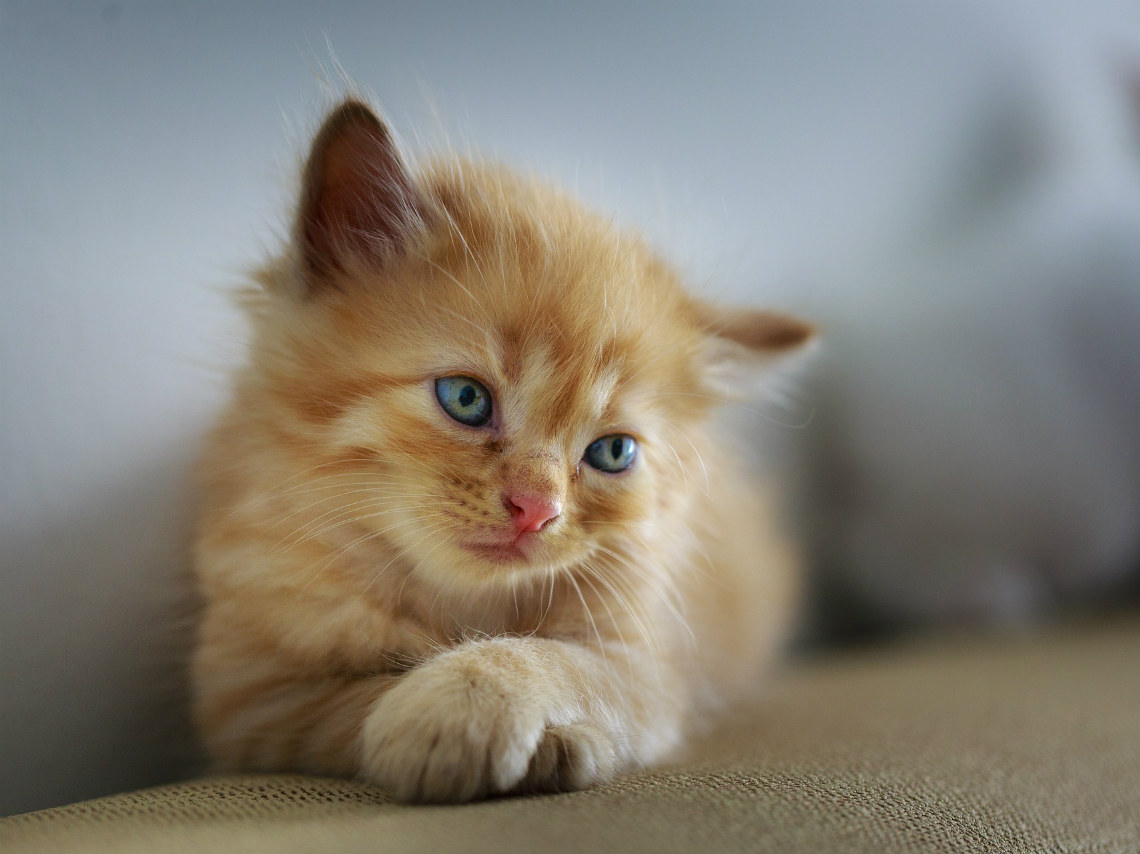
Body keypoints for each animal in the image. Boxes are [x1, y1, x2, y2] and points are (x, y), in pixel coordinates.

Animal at [189, 98, 811, 798]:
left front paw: (470, 702)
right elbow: (354, 699)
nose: (537, 510)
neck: (460, 603)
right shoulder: (249, 694)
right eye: (465, 398)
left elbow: (553, 659)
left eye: (613, 453)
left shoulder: (646, 666)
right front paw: (443, 726)